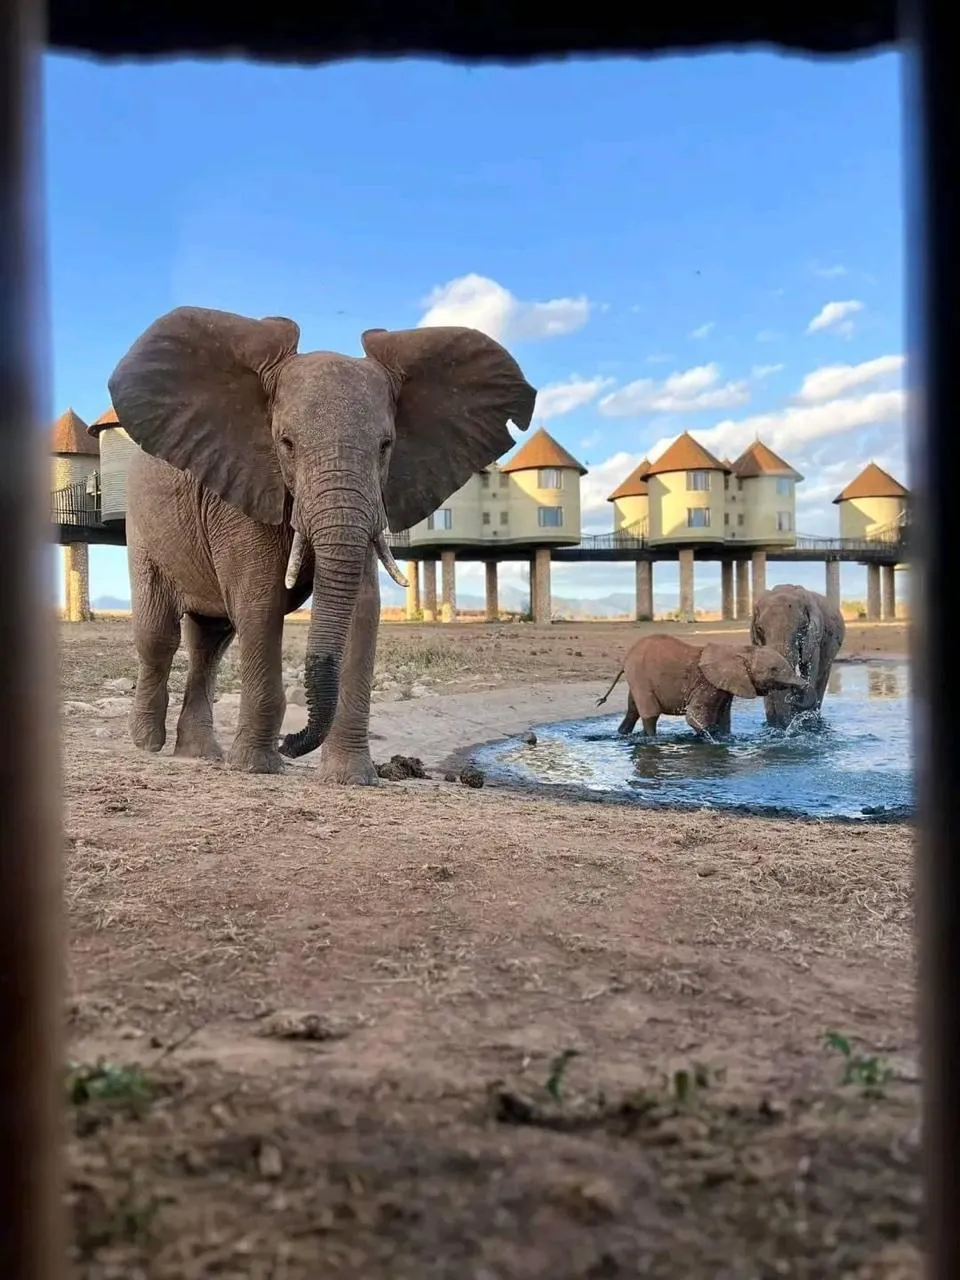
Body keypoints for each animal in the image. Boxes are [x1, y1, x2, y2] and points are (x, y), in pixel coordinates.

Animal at [108, 304, 537, 778]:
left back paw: (199, 753)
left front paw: (350, 778)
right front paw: (258, 767)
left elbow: (362, 606)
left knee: (210, 642)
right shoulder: (243, 489)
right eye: (286, 443)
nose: (291, 744)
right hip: (142, 526)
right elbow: (261, 601)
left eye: (386, 445)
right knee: (159, 635)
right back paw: (147, 743)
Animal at [599, 632, 808, 737]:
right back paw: (651, 739)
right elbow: (694, 717)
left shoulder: (725, 686)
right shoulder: (707, 683)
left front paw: (725, 738)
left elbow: (724, 719)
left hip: (636, 679)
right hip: (641, 677)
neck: (741, 651)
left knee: (632, 711)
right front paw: (710, 738)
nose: (804, 684)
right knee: (650, 714)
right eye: (773, 669)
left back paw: (623, 734)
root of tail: (626, 659)